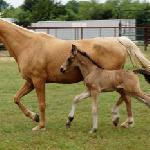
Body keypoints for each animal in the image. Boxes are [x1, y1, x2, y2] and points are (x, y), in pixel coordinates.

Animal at [0, 19, 150, 131]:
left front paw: (40, 126)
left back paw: (124, 121)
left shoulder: (38, 80)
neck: (28, 45)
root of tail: (118, 40)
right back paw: (120, 120)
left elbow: (42, 103)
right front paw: (34, 117)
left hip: (117, 82)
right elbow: (16, 98)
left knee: (128, 98)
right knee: (127, 98)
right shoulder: (30, 82)